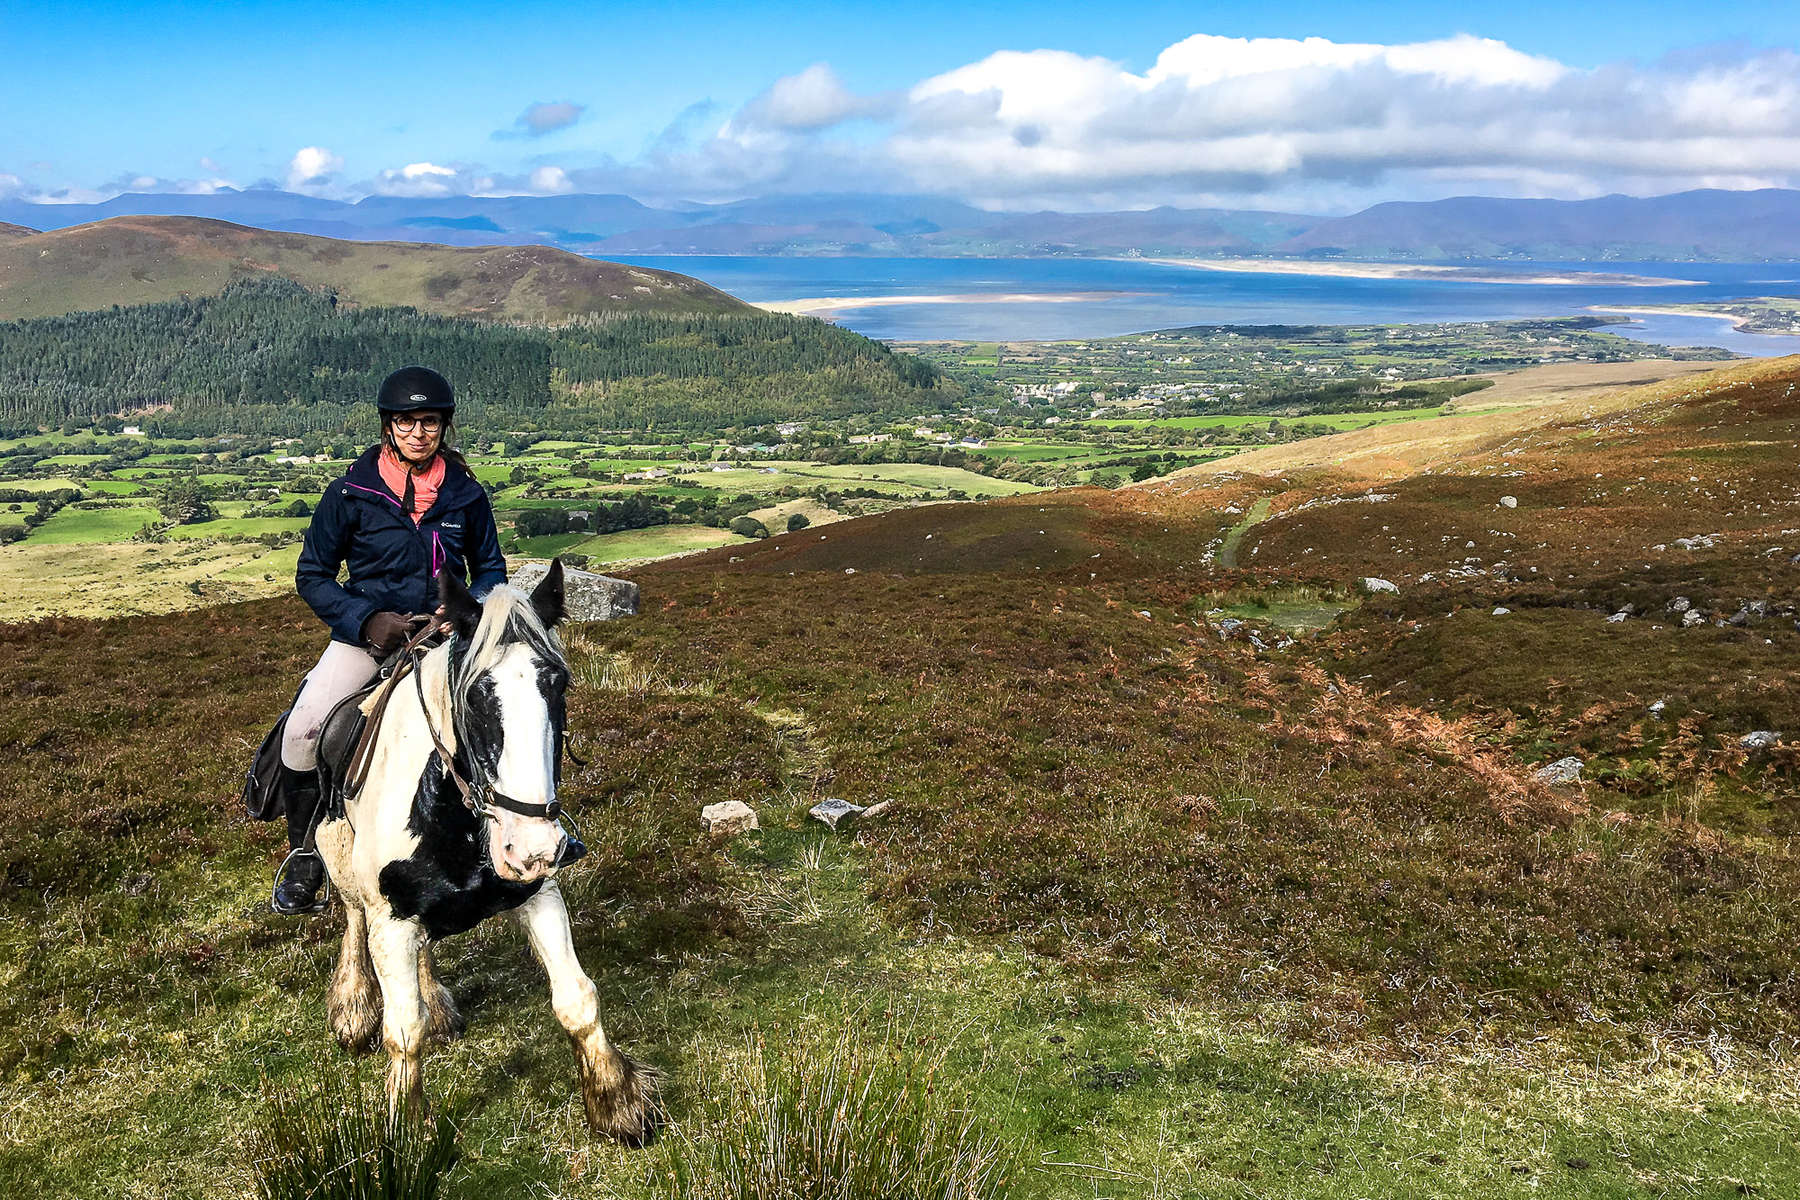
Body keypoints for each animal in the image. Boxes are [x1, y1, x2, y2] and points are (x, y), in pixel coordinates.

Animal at [316, 564, 662, 1144]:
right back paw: (352, 1007)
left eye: (558, 682)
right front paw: (409, 1133)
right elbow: (403, 1031)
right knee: (352, 920)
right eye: (476, 695)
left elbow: (576, 998)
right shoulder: (391, 917)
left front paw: (618, 1103)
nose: (533, 847)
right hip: (342, 865)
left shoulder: (538, 892)